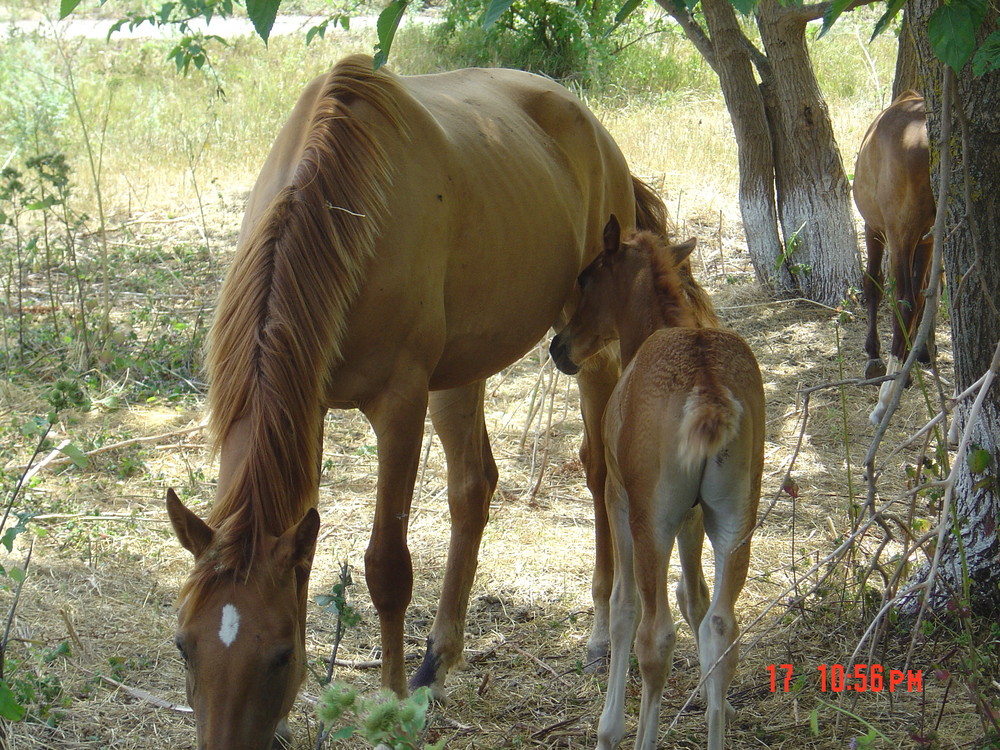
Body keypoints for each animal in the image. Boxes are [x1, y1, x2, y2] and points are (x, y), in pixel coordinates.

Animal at [164, 54, 668, 750]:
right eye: (184, 646)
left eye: (279, 655)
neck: (341, 214)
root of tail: (590, 123)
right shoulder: (309, 410)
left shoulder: (399, 405)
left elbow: (387, 568)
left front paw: (392, 704)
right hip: (461, 369)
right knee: (473, 488)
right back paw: (441, 656)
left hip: (589, 348)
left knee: (597, 474)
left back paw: (595, 634)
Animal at [552, 217, 760, 750]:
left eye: (585, 278)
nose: (559, 347)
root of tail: (708, 389)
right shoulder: (693, 518)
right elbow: (697, 598)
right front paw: (720, 707)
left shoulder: (620, 500)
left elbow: (624, 608)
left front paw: (609, 727)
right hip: (735, 519)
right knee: (723, 628)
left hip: (653, 522)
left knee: (656, 636)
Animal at [852, 89, 936, 424]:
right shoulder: (926, 240)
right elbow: (925, 292)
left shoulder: (873, 228)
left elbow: (873, 285)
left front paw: (873, 355)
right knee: (919, 297)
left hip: (899, 236)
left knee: (905, 300)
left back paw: (885, 399)